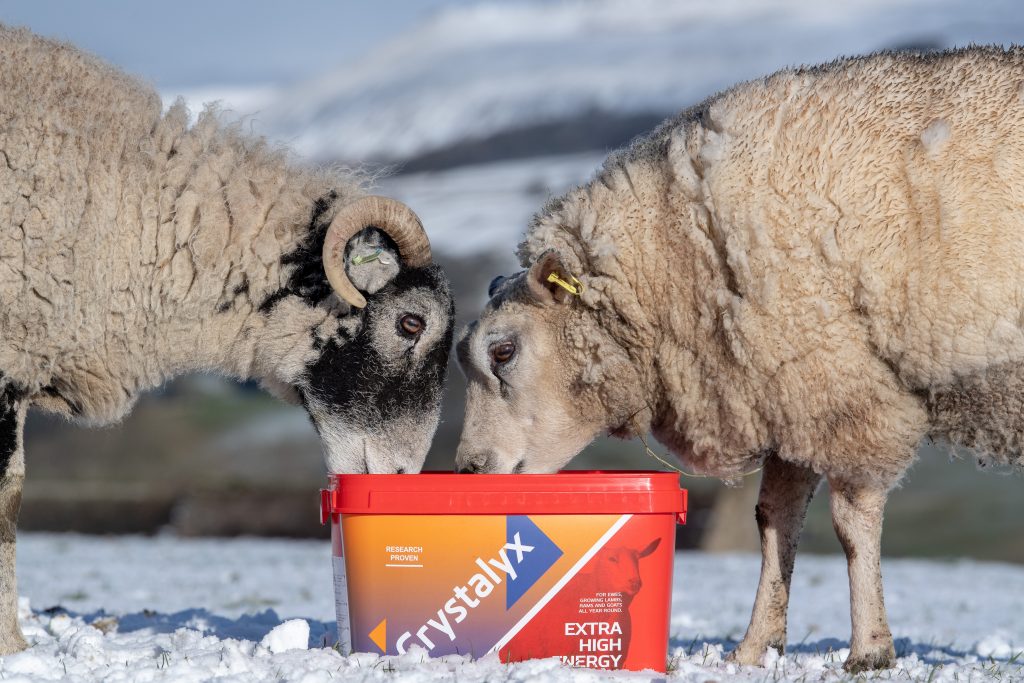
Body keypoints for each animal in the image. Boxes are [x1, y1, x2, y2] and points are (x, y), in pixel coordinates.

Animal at [456, 48, 1024, 671]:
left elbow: (850, 526)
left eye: (503, 350)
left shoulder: (841, 388)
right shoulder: (786, 385)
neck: (676, 254)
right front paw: (756, 647)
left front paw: (869, 651)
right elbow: (774, 521)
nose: (468, 469)